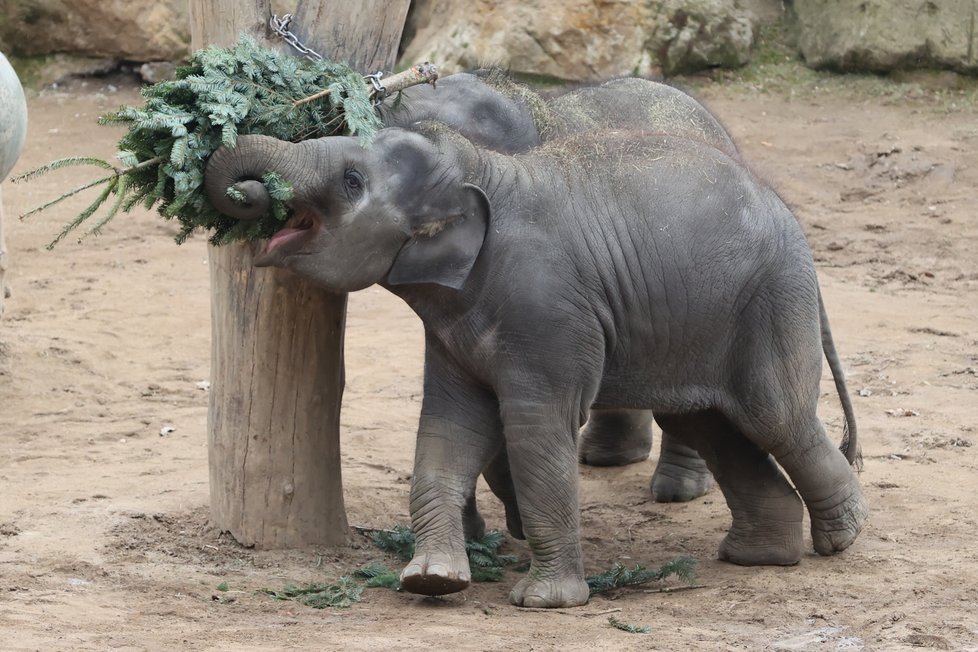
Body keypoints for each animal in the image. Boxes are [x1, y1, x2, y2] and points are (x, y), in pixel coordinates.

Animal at [204, 121, 860, 608]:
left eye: (351, 180)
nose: (248, 194)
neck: (481, 166)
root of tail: (784, 208)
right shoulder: (452, 325)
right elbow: (448, 427)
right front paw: (431, 581)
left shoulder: (547, 312)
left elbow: (535, 429)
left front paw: (545, 602)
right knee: (709, 424)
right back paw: (759, 556)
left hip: (770, 301)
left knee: (776, 416)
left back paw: (841, 539)